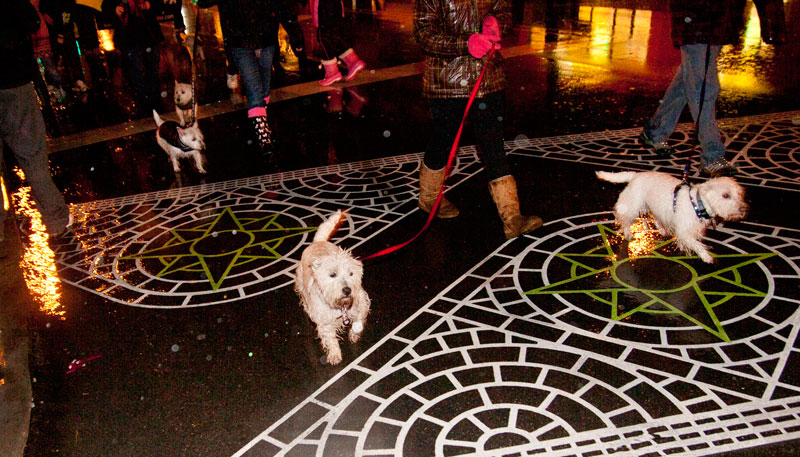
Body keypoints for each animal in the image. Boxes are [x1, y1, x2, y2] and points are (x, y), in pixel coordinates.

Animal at [296, 209, 370, 364]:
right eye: (332, 274)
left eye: (351, 273)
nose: (347, 290)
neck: (340, 306)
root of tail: (318, 242)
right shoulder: (324, 321)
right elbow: (330, 338)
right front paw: (335, 355)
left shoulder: (361, 300)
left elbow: (359, 318)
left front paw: (354, 333)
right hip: (300, 282)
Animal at [596, 169, 748, 262]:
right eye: (725, 195)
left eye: (739, 195)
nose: (743, 209)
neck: (698, 203)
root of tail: (635, 175)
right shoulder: (684, 231)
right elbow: (696, 244)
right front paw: (707, 257)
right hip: (632, 205)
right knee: (626, 221)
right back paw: (628, 234)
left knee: (654, 217)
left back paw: (662, 230)